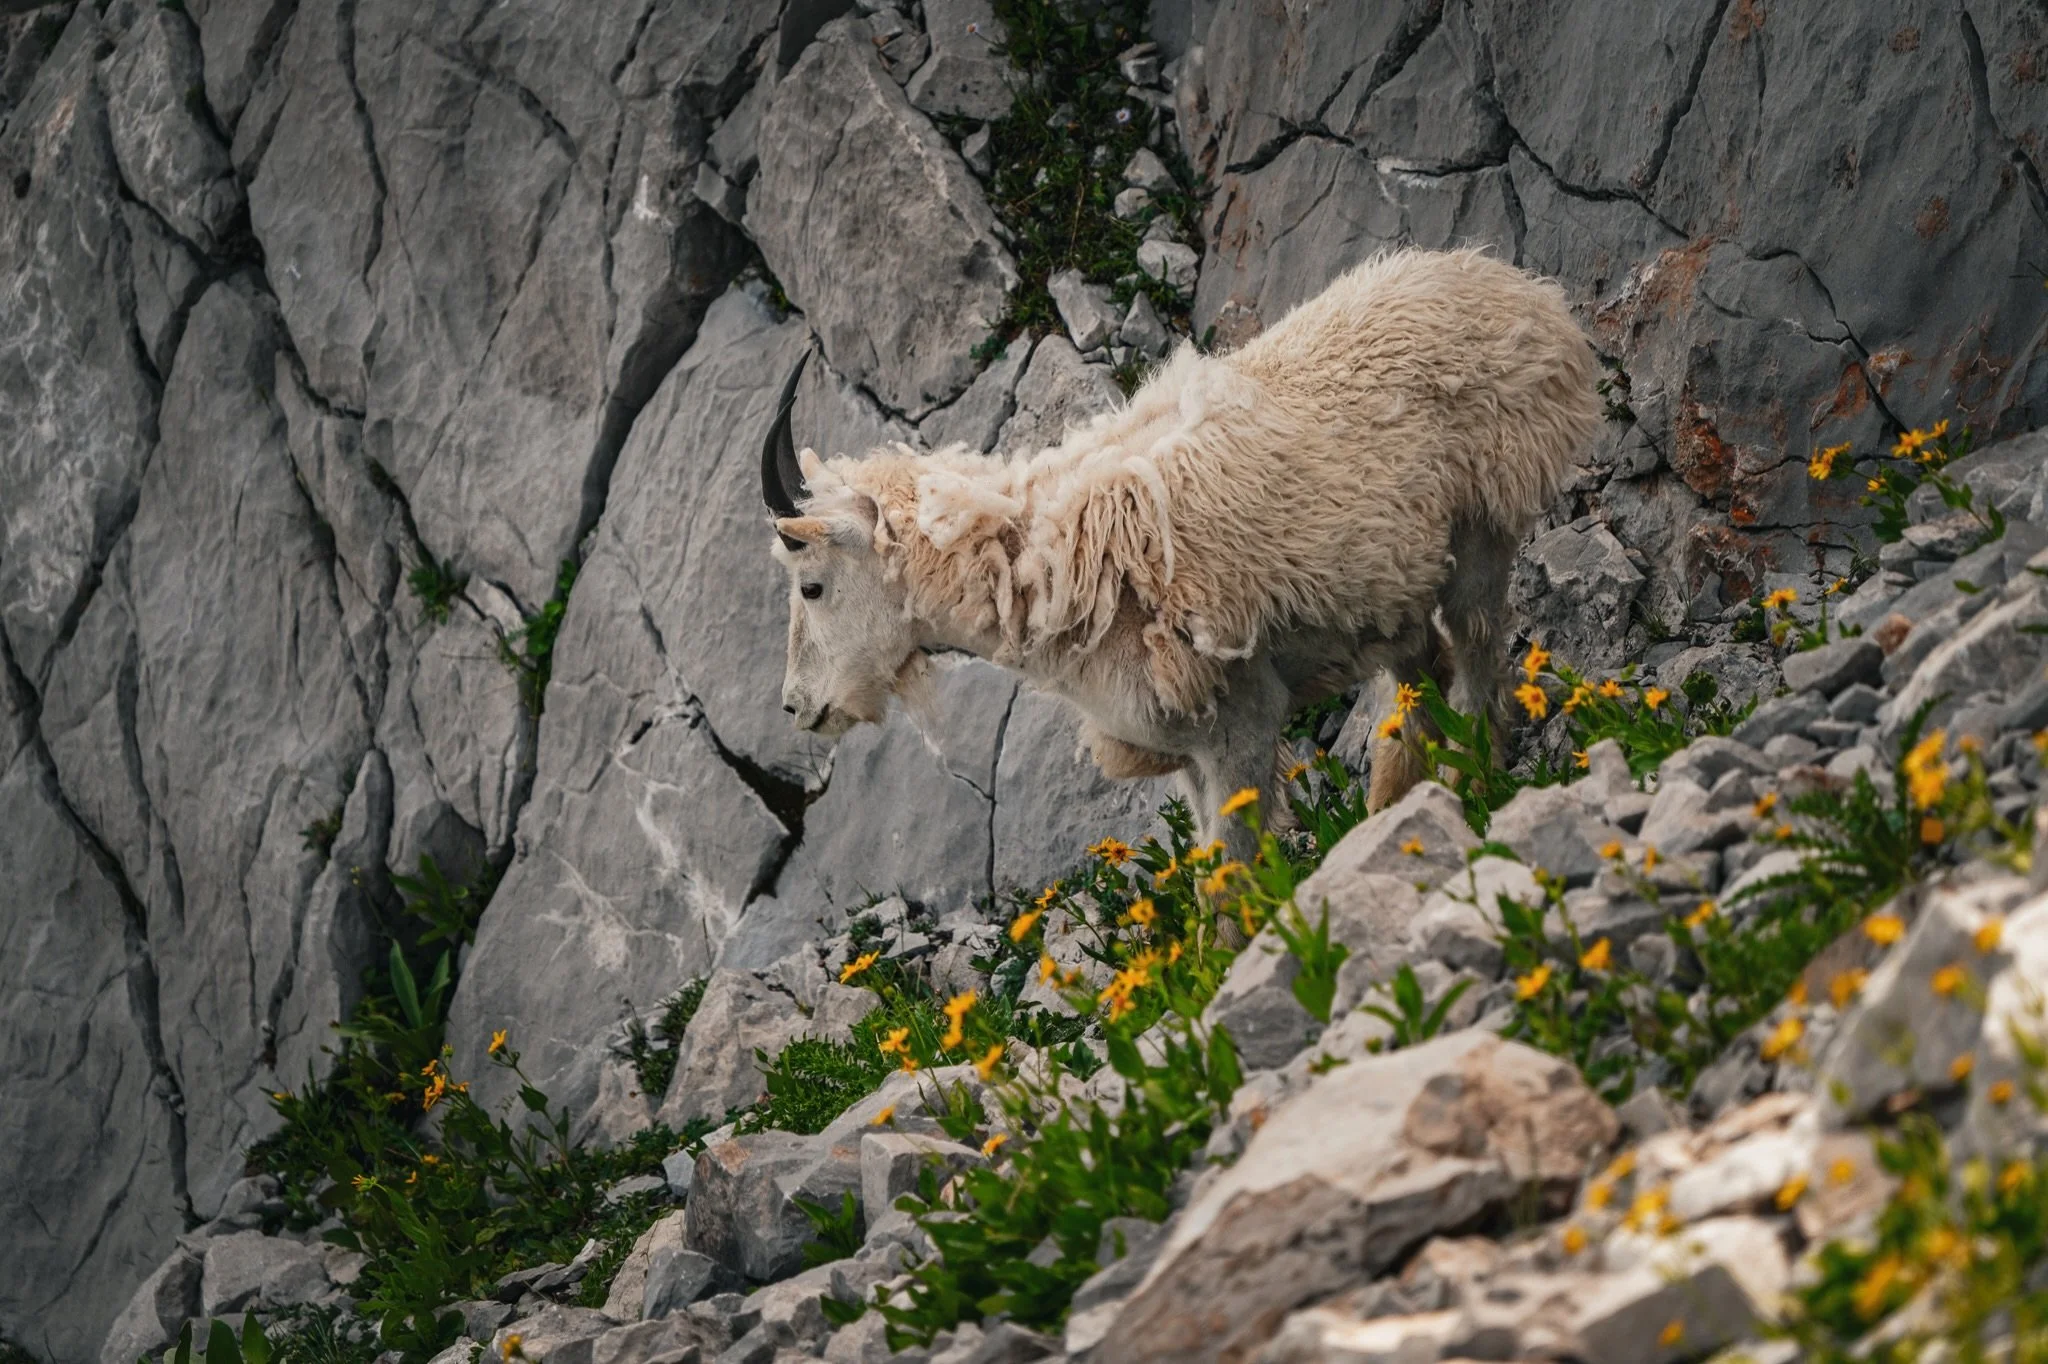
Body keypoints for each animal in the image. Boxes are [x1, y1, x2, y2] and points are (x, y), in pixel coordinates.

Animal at [762, 248, 1600, 858]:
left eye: (810, 586)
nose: (797, 707)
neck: (1046, 566)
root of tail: (1509, 285)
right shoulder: (1187, 755)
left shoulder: (1239, 724)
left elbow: (1229, 885)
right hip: (1388, 591)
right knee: (1420, 672)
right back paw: (1394, 806)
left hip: (1481, 524)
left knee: (1479, 651)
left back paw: (1476, 779)